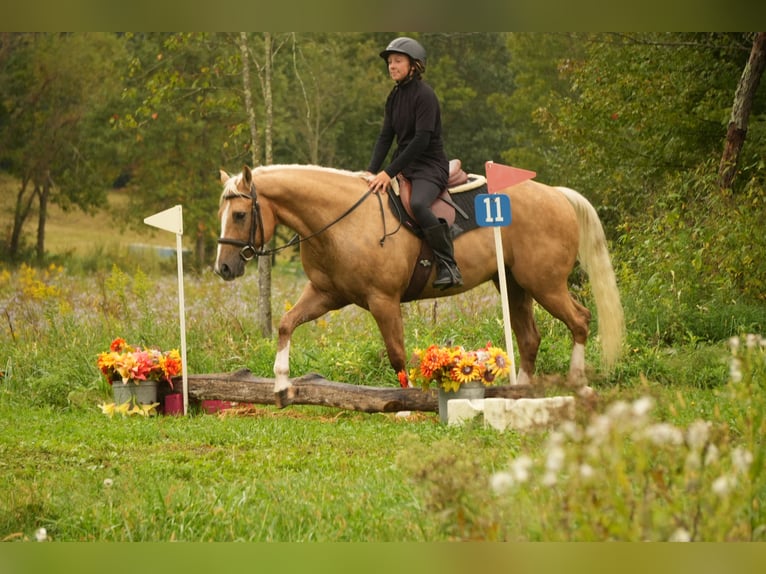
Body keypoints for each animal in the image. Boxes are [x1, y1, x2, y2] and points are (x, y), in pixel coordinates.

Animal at [214, 163, 624, 404]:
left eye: (240, 214)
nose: (224, 268)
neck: (341, 219)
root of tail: (556, 194)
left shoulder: (382, 300)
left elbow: (397, 352)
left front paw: (405, 406)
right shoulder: (325, 294)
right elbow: (286, 324)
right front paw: (282, 385)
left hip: (545, 284)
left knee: (580, 321)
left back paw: (578, 383)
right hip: (514, 284)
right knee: (529, 337)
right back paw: (520, 391)